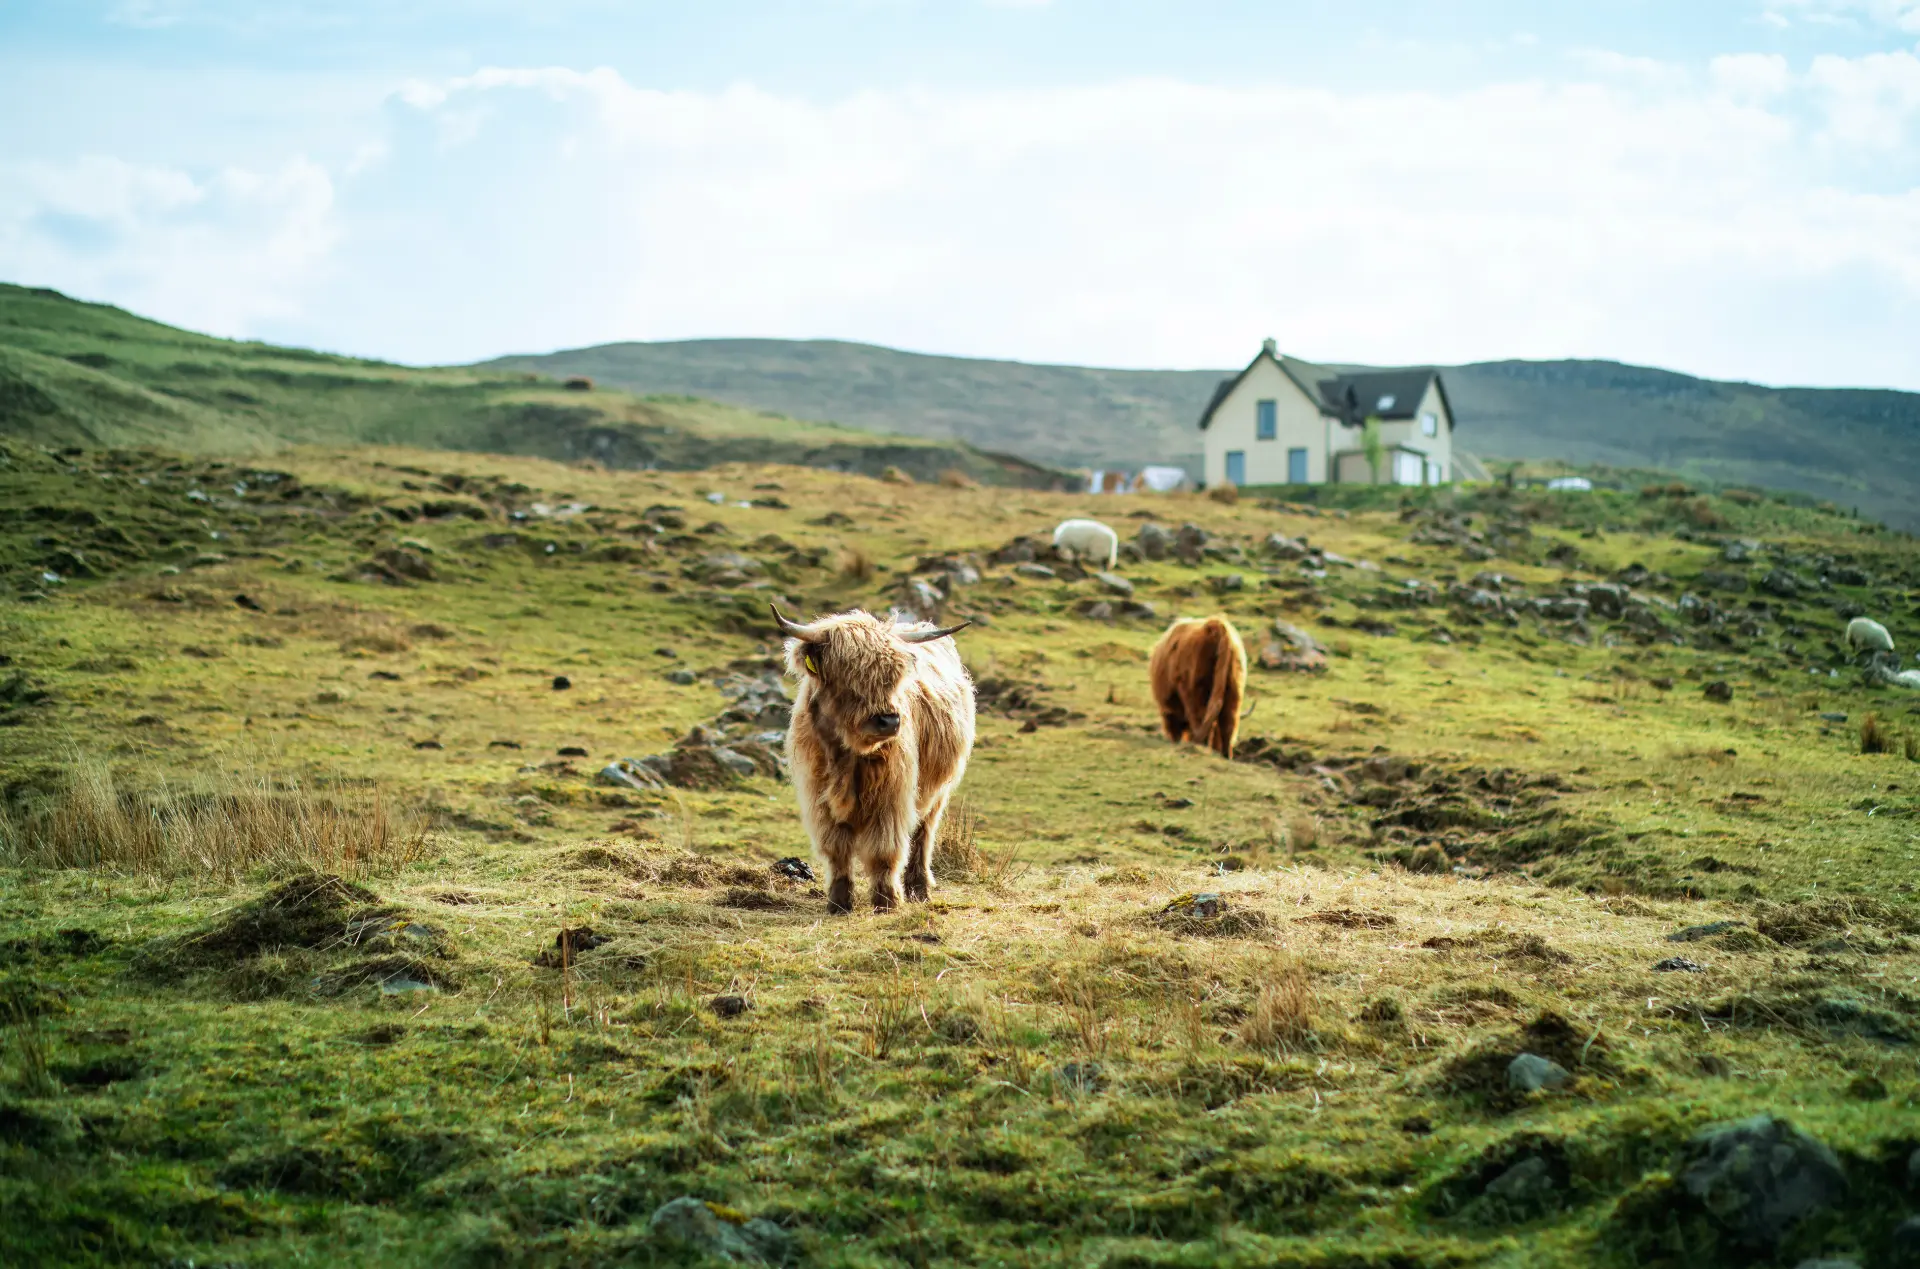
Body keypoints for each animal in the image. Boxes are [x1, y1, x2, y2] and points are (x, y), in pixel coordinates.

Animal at [773, 605, 976, 913]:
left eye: (895, 676)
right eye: (848, 674)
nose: (889, 721)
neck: (846, 756)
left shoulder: (891, 795)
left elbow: (884, 849)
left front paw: (887, 902)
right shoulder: (818, 795)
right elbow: (836, 848)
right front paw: (839, 902)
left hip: (938, 790)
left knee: (923, 834)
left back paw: (919, 889)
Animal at [1148, 615, 1248, 759]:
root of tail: (1216, 625)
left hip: (1194, 691)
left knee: (1201, 718)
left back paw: (1200, 746)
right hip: (1234, 688)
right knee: (1228, 721)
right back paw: (1225, 755)